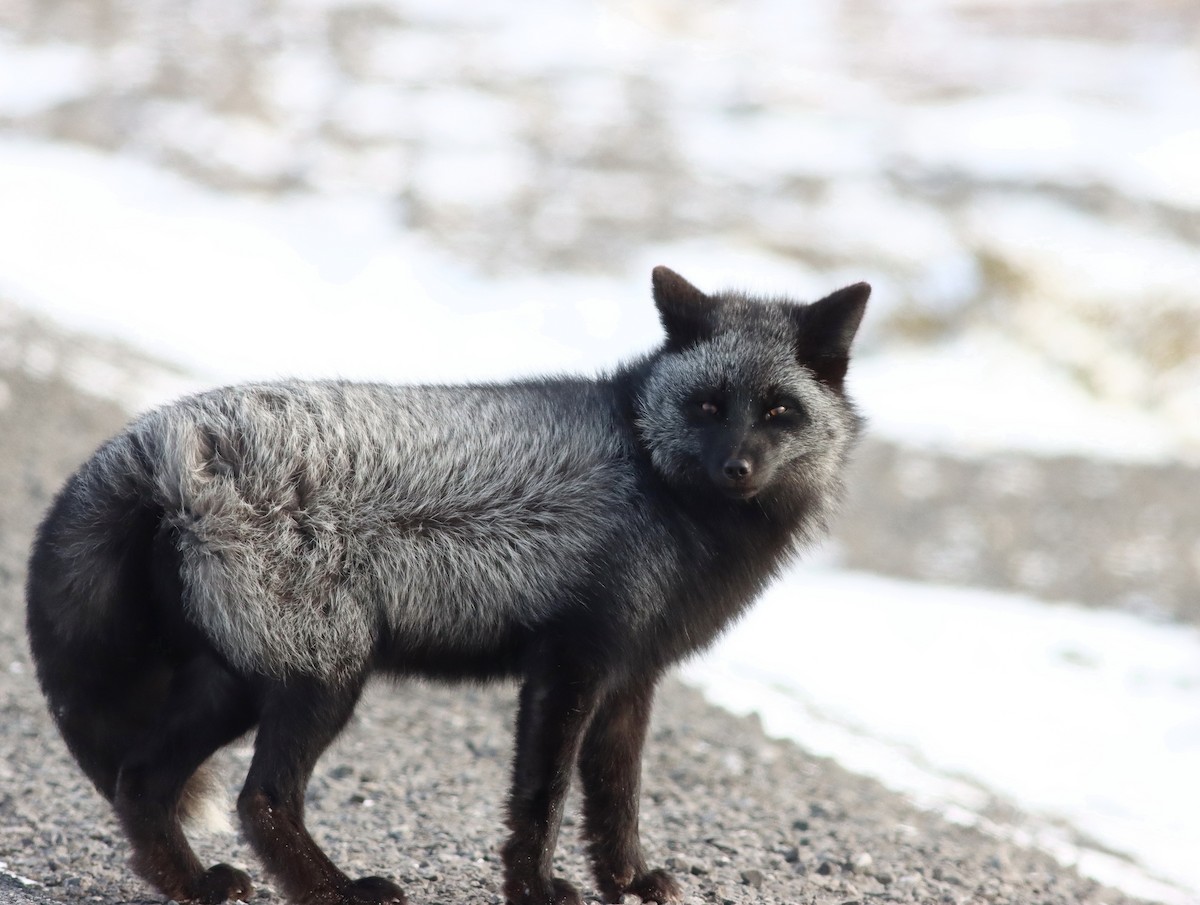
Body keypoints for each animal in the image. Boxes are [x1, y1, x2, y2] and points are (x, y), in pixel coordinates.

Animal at [25, 266, 869, 905]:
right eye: (707, 405)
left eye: (779, 410)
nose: (738, 467)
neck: (656, 485)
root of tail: (163, 439)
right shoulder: (570, 663)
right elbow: (543, 799)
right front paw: (536, 890)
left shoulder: (633, 677)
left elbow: (616, 801)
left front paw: (625, 882)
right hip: (323, 676)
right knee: (258, 799)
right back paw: (337, 890)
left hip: (234, 679)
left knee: (140, 781)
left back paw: (197, 885)